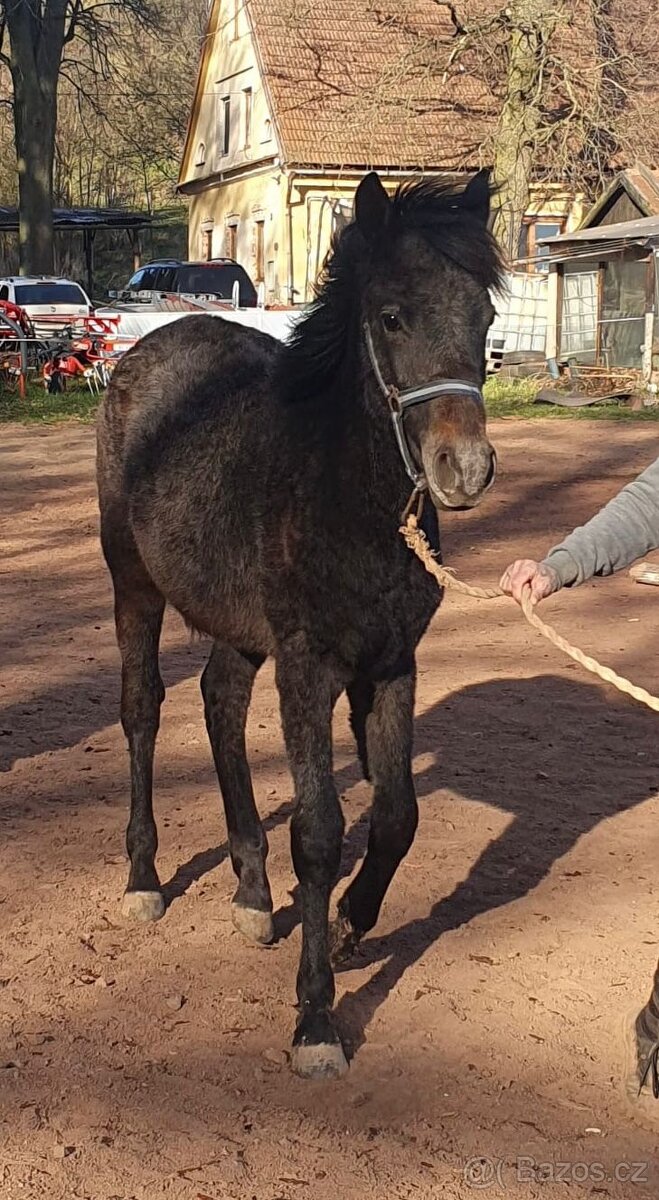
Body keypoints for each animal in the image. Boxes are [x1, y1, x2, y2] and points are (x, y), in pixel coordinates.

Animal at [96, 169, 503, 1078]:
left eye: (485, 318)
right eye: (391, 316)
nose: (462, 469)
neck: (344, 494)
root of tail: (144, 350)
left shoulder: (389, 665)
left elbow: (395, 816)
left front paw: (353, 923)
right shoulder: (309, 667)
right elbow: (318, 833)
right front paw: (315, 1019)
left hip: (242, 631)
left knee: (218, 703)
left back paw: (251, 894)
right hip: (133, 586)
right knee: (142, 713)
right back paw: (143, 880)